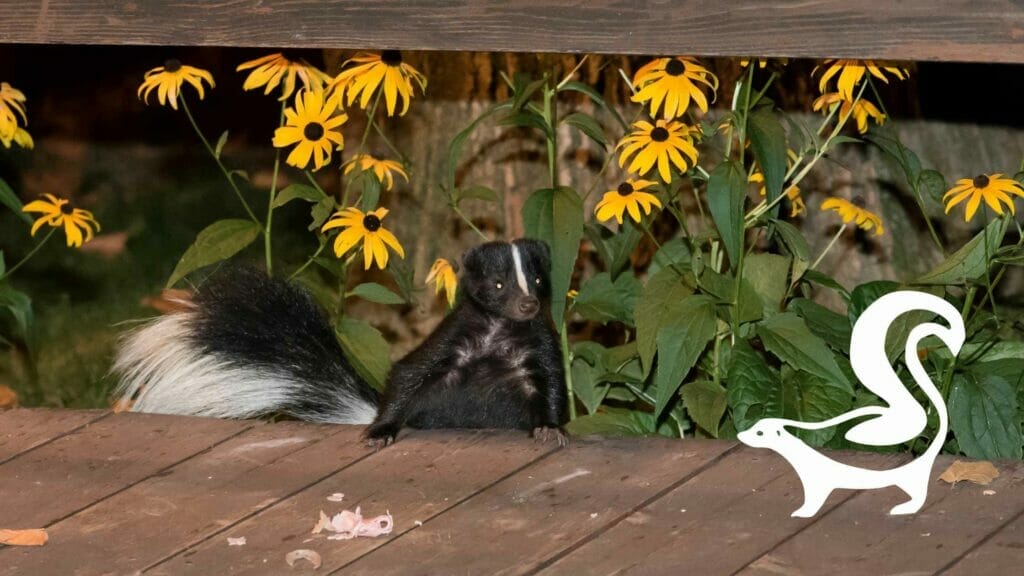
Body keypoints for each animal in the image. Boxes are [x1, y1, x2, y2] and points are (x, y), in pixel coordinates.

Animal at [117, 237, 577, 444]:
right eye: (499, 284)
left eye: (536, 280)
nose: (528, 304)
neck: (498, 333)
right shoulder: (454, 338)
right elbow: (410, 373)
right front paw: (381, 432)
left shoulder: (537, 344)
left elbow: (552, 384)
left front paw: (549, 429)